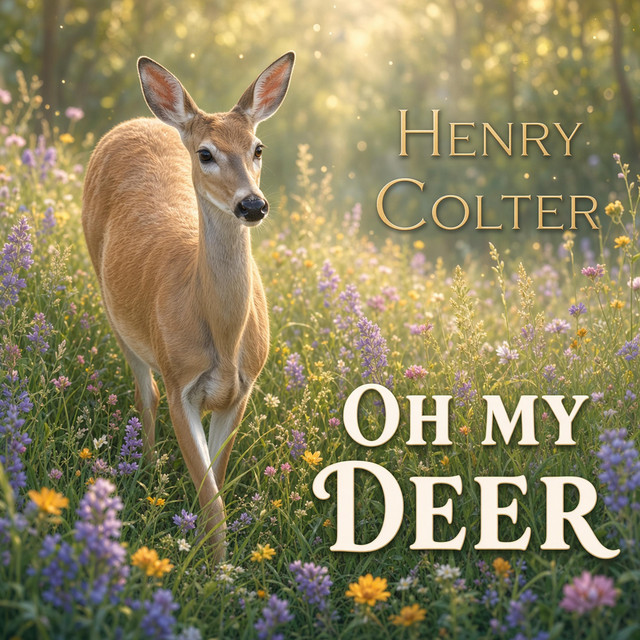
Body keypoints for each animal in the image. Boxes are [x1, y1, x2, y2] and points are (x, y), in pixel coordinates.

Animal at [82, 52, 295, 560]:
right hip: (114, 306)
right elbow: (211, 498)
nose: (252, 205)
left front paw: (212, 561)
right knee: (146, 393)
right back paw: (146, 467)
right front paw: (212, 566)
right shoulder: (181, 382)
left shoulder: (242, 389)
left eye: (258, 147)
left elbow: (216, 482)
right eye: (206, 154)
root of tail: (139, 121)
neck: (223, 337)